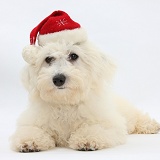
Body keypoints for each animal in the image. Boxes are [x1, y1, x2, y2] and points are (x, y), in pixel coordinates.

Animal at [10, 10, 160, 152]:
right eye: (48, 59)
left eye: (73, 56)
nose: (58, 79)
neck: (65, 103)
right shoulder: (34, 121)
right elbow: (30, 130)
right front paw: (30, 141)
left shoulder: (110, 123)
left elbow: (95, 128)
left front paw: (87, 139)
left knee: (138, 116)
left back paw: (151, 125)